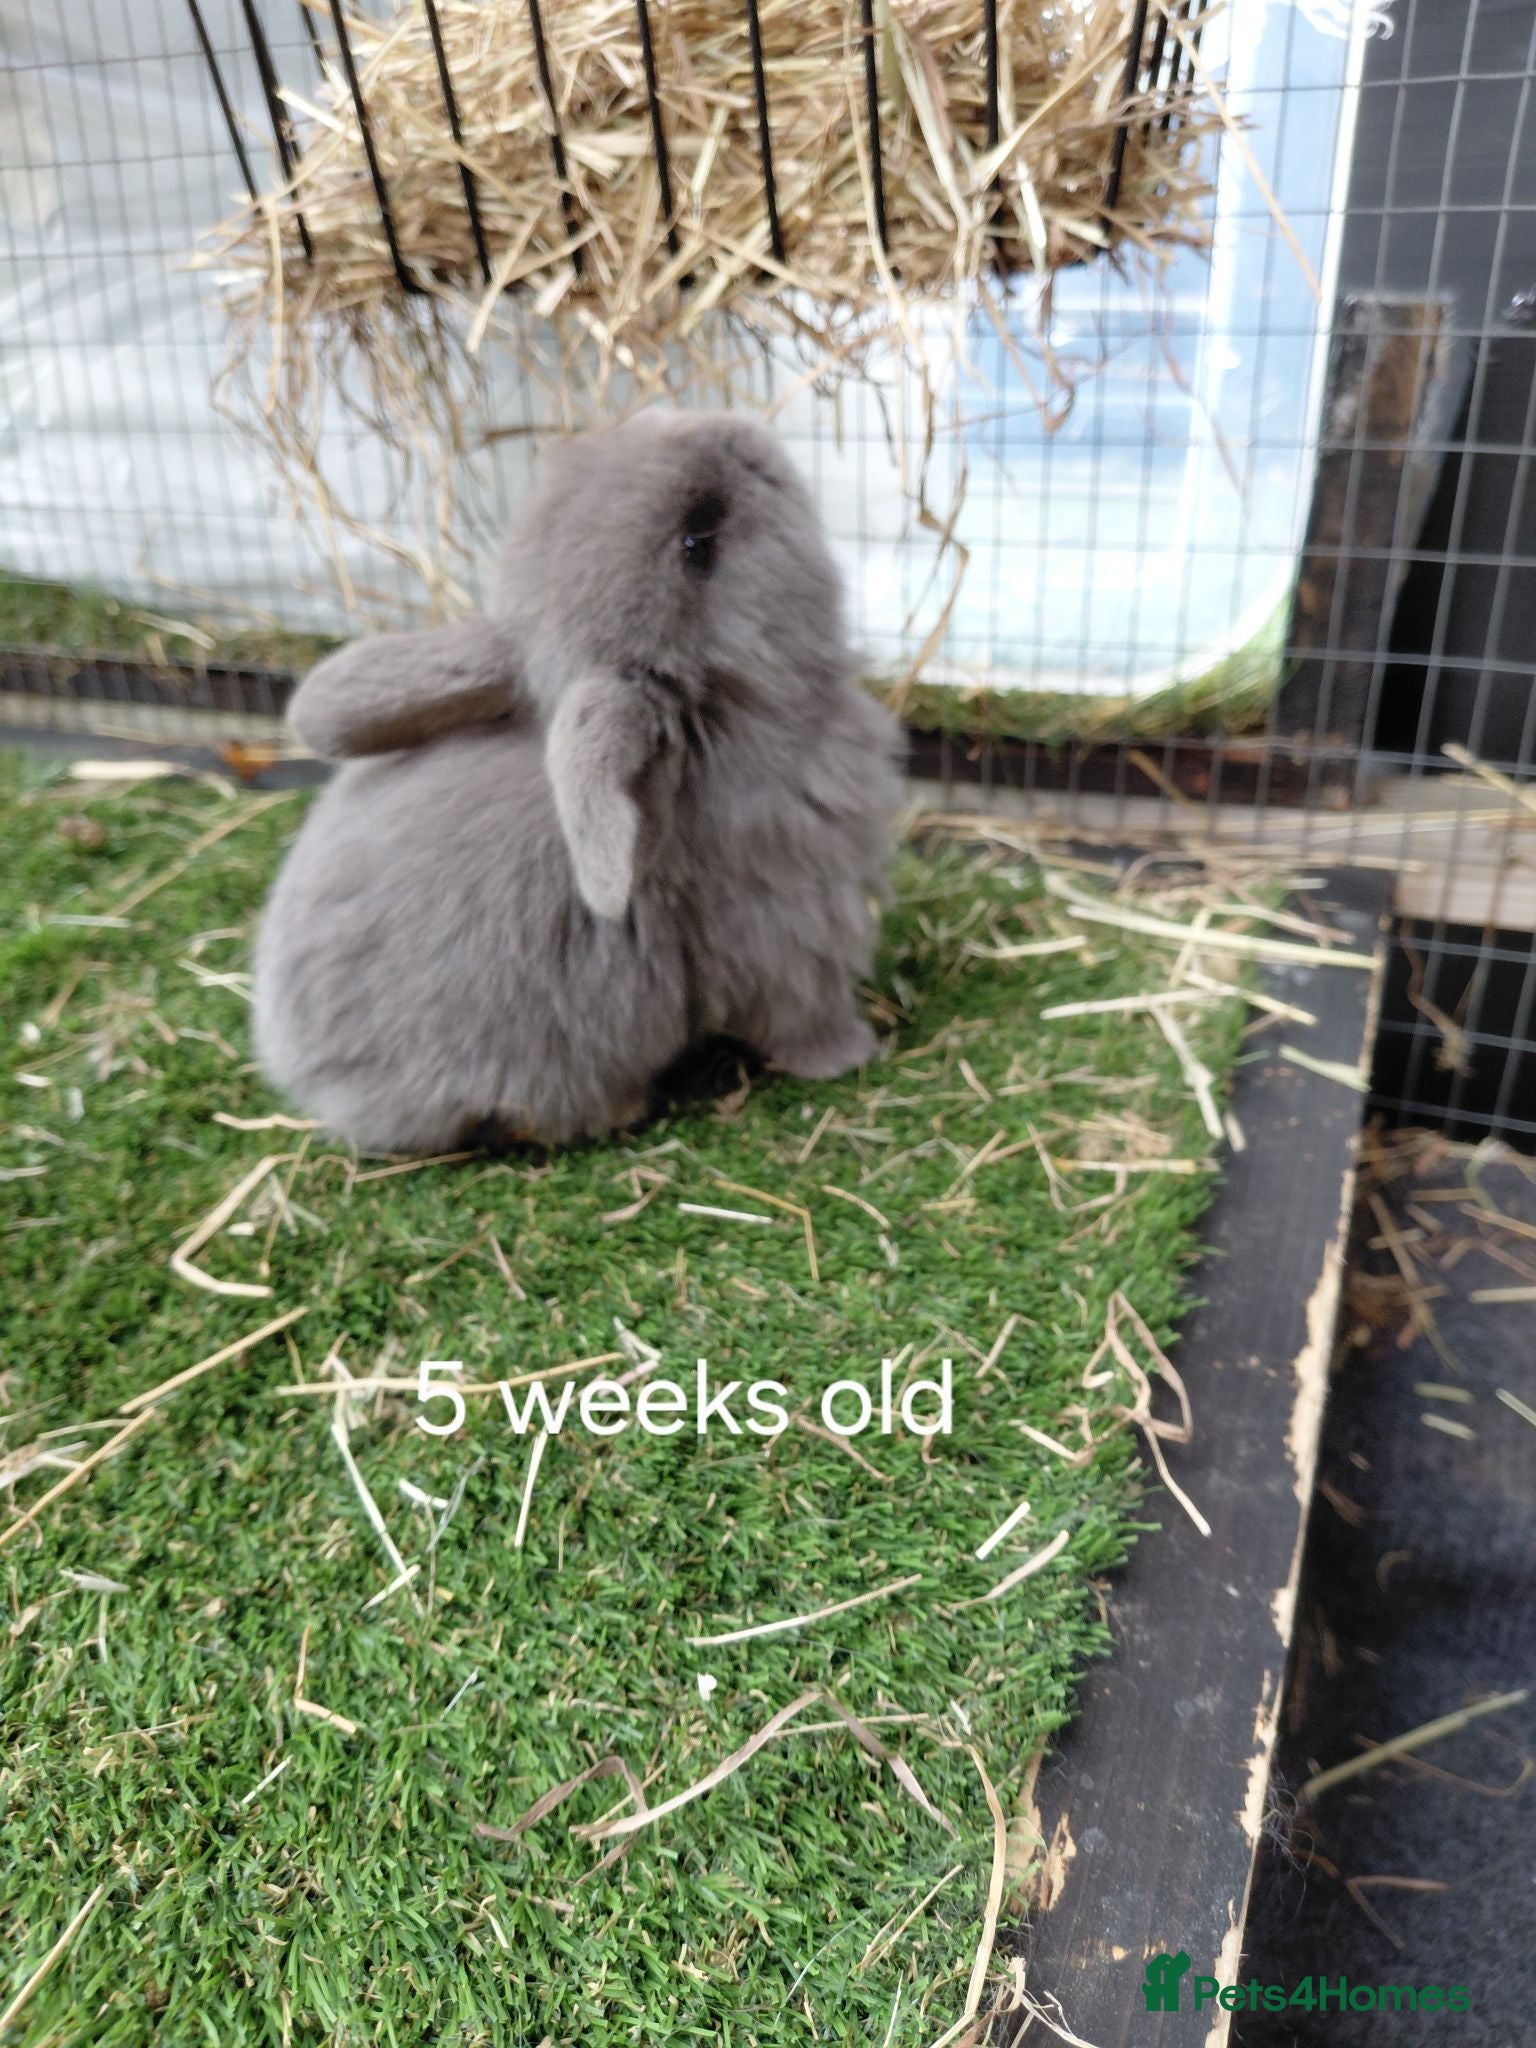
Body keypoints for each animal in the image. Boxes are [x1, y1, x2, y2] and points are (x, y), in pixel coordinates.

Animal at [252, 409, 904, 1154]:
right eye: (695, 542)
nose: (728, 430)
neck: (718, 729)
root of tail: (316, 1082)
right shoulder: (796, 930)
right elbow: (804, 1017)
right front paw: (853, 1055)